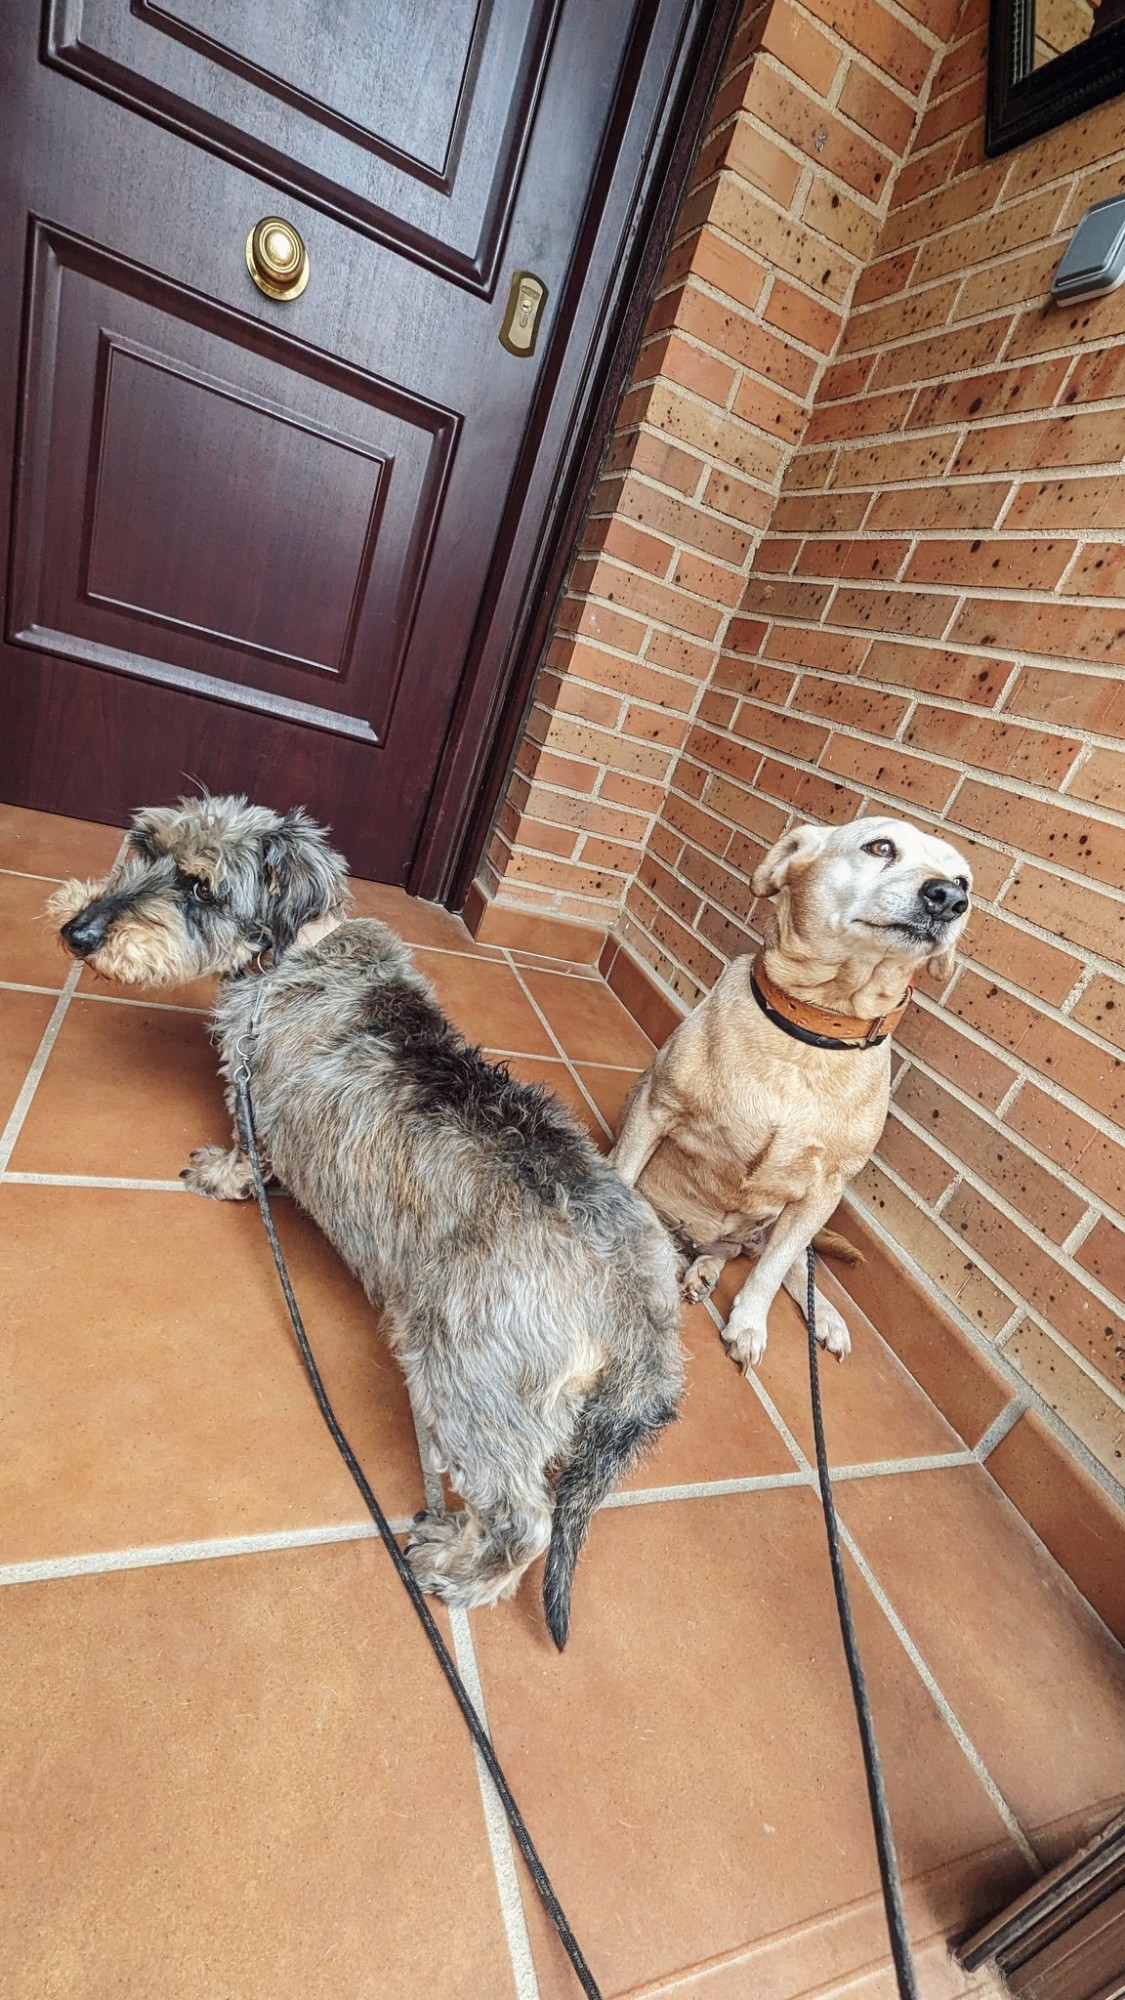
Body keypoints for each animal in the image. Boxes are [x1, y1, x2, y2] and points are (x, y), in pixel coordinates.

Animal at [52, 792, 680, 1640]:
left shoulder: (257, 1098)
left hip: (469, 1374)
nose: (78, 932)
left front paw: (223, 1174)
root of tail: (635, 1297)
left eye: (200, 887)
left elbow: (249, 1149)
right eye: (144, 845)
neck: (295, 950)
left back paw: (459, 1570)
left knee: (525, 1518)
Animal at [608, 816, 968, 1376]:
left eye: (963, 880)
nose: (950, 898)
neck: (813, 1035)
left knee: (786, 1261)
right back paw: (696, 1268)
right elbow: (621, 1181)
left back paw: (818, 1314)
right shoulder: (654, 1110)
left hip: (786, 1219)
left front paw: (750, 1325)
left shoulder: (823, 1192)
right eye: (880, 847)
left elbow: (775, 1269)